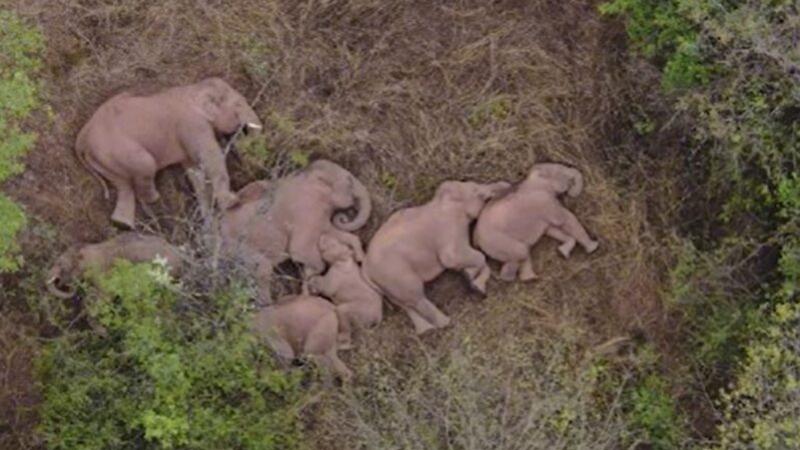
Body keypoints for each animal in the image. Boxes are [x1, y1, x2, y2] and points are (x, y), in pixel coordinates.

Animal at [76, 77, 263, 229]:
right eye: (238, 104)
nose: (241, 133)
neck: (194, 89)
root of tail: (82, 136)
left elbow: (195, 171)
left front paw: (208, 220)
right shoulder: (193, 124)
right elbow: (210, 157)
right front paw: (232, 202)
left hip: (104, 159)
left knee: (123, 185)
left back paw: (123, 225)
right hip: (118, 150)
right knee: (145, 166)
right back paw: (155, 202)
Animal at [220, 160, 372, 302]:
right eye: (350, 182)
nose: (343, 217)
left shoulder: (319, 216)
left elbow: (335, 233)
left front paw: (360, 259)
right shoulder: (306, 211)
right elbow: (300, 251)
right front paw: (309, 280)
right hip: (242, 250)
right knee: (262, 271)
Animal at [362, 180, 511, 335]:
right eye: (476, 190)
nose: (505, 184)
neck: (441, 201)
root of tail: (365, 269)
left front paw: (470, 277)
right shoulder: (450, 229)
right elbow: (456, 258)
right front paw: (474, 283)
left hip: (387, 285)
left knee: (405, 303)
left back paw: (426, 330)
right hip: (396, 275)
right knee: (416, 297)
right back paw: (446, 323)